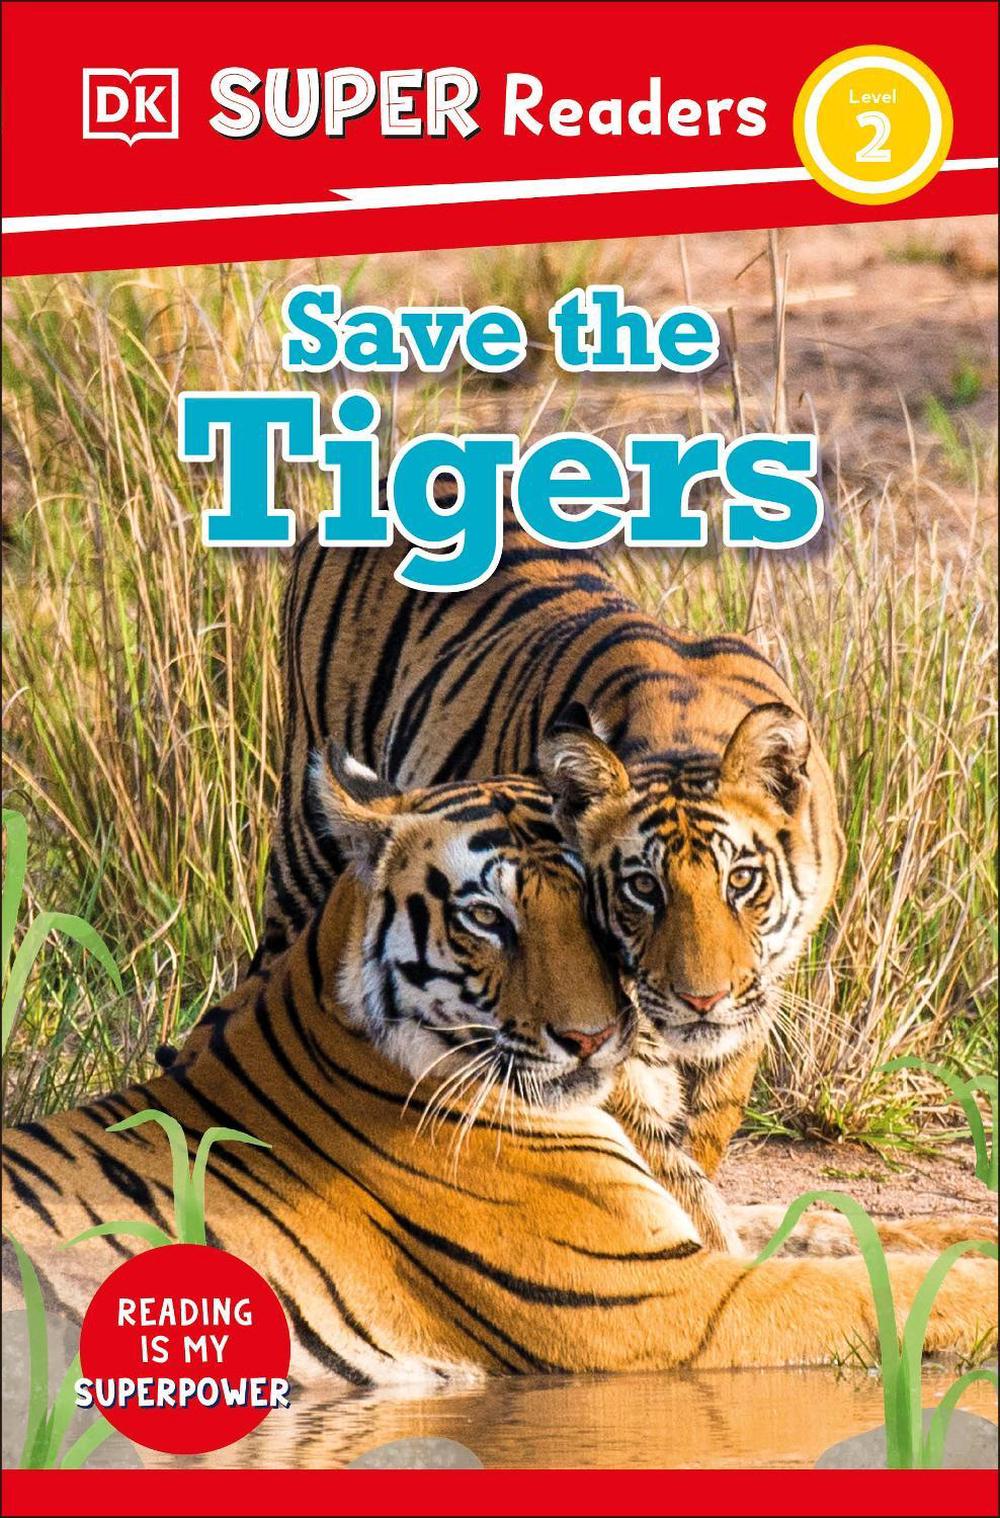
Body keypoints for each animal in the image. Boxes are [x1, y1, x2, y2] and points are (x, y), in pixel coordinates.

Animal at [4, 756, 995, 1387]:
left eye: (601, 903)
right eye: (487, 918)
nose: (592, 1038)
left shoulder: (695, 1231)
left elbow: (854, 1226)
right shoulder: (656, 1299)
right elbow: (880, 1284)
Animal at [258, 489, 844, 1215]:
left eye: (741, 880)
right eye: (642, 888)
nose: (700, 1001)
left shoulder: (748, 1005)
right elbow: (664, 1172)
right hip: (305, 839)